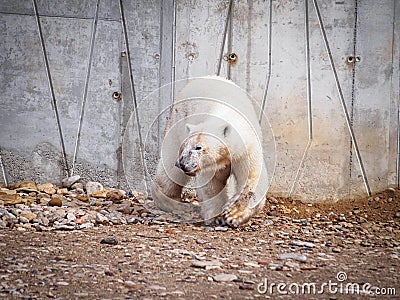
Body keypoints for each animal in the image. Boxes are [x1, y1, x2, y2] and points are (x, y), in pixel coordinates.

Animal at [152, 76, 268, 226]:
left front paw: (233, 214)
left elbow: (252, 178)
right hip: (177, 124)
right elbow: (210, 185)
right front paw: (217, 217)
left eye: (198, 147)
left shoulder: (246, 150)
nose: (182, 163)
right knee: (169, 166)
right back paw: (175, 203)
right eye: (186, 146)